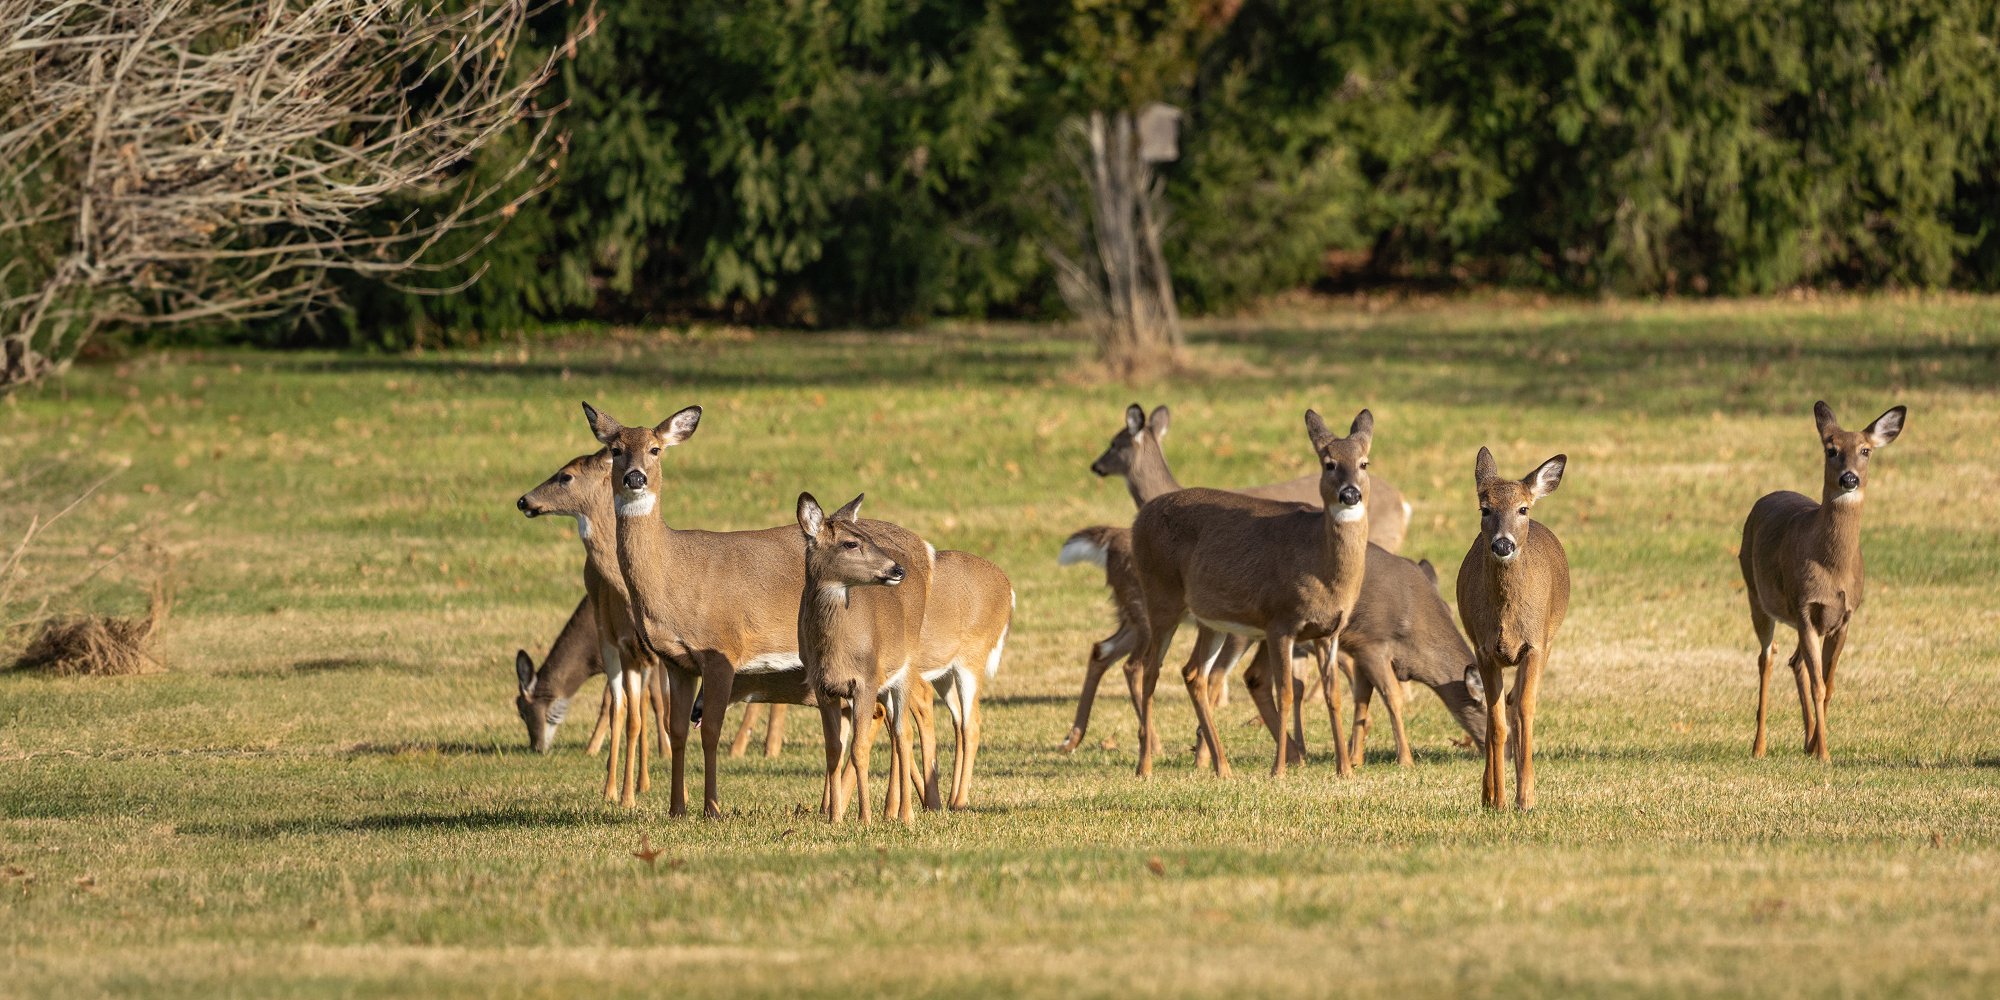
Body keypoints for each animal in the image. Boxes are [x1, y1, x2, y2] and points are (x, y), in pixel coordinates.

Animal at [517, 449, 675, 806]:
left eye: (566, 476)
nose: (523, 500)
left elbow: (659, 708)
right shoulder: (621, 646)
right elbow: (627, 711)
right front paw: (623, 790)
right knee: (624, 707)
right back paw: (616, 787)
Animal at [795, 492, 933, 824]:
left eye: (867, 537)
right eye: (850, 543)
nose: (897, 570)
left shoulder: (866, 680)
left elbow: (859, 749)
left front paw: (864, 817)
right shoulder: (822, 686)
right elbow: (833, 750)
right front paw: (834, 817)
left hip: (905, 666)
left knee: (903, 733)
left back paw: (906, 814)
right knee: (895, 732)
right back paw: (893, 811)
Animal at [1127, 408, 1377, 779]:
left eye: (1364, 463)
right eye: (1329, 463)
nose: (1350, 494)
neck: (1321, 567)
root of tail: (1140, 517)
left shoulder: (1329, 631)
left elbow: (1333, 694)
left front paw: (1345, 770)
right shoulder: (1279, 622)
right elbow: (1285, 692)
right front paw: (1279, 770)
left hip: (1210, 619)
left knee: (1193, 672)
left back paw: (1223, 767)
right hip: (1161, 596)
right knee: (1149, 669)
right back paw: (1145, 766)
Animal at [1456, 447, 1569, 811]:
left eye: (1522, 508)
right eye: (1485, 508)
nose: (1502, 545)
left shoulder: (1535, 644)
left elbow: (1525, 712)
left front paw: (1526, 798)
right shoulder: (1484, 649)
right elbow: (1497, 724)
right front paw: (1499, 799)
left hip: (1549, 640)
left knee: (1516, 704)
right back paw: (1488, 794)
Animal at [1741, 401, 1906, 762]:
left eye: (1865, 450)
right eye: (1831, 450)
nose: (1849, 478)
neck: (1832, 568)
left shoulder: (1844, 616)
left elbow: (1828, 685)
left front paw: (1817, 746)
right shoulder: (1803, 605)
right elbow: (1819, 684)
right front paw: (1825, 754)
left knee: (1795, 662)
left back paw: (1806, 742)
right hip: (1757, 594)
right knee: (1766, 658)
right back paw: (1759, 747)